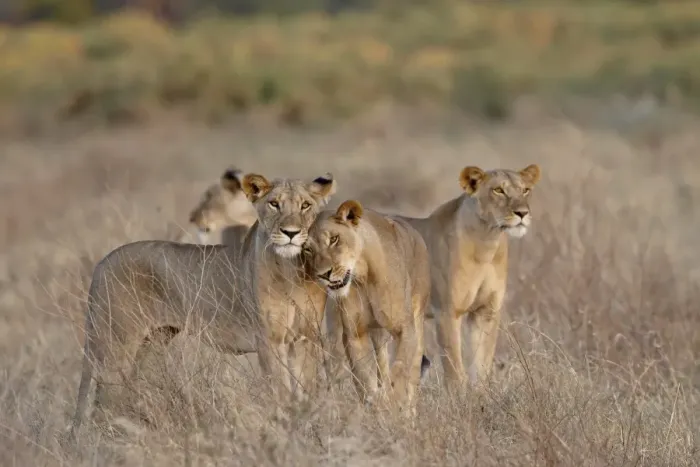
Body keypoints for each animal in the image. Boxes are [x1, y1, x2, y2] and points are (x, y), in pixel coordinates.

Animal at [68, 172, 336, 441]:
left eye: (305, 205)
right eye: (274, 204)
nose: (291, 232)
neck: (291, 269)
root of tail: (102, 264)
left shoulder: (305, 338)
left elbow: (305, 390)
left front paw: (307, 430)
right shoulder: (269, 340)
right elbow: (280, 392)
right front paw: (285, 431)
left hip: (152, 342)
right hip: (116, 343)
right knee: (103, 398)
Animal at [304, 200, 431, 412]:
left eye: (334, 239)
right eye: (308, 249)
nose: (324, 274)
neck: (363, 276)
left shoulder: (405, 328)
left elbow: (400, 369)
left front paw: (395, 403)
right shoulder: (355, 334)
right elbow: (364, 377)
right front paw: (376, 404)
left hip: (418, 318)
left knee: (413, 373)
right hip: (377, 332)